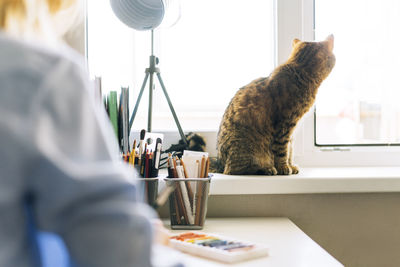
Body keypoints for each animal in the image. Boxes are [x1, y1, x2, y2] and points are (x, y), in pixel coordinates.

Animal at [216, 35, 334, 176]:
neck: (300, 73)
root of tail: (220, 164)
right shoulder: (284, 126)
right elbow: (282, 151)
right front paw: (283, 167)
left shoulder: (291, 131)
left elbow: (290, 150)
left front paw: (291, 165)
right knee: (235, 170)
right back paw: (266, 169)